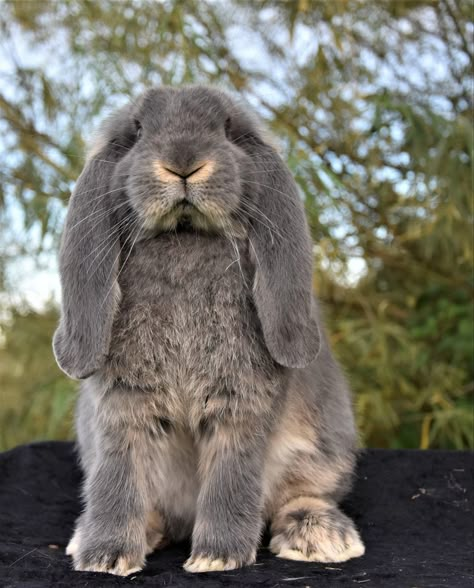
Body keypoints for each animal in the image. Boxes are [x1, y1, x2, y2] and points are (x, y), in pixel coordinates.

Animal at [53, 85, 364, 576]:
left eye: (229, 130)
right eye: (136, 132)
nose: (183, 163)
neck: (186, 237)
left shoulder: (242, 402)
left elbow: (231, 475)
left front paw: (218, 556)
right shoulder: (122, 407)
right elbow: (116, 478)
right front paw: (104, 557)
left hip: (324, 448)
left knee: (302, 494)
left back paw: (320, 536)